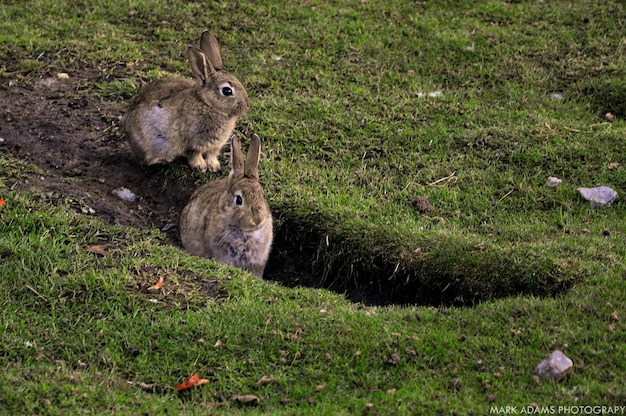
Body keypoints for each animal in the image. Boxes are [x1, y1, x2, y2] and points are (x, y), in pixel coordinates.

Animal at [122, 30, 249, 171]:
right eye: (227, 91)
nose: (247, 106)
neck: (207, 104)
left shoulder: (215, 145)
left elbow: (212, 154)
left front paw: (214, 166)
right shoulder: (193, 143)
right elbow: (194, 154)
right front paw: (200, 166)